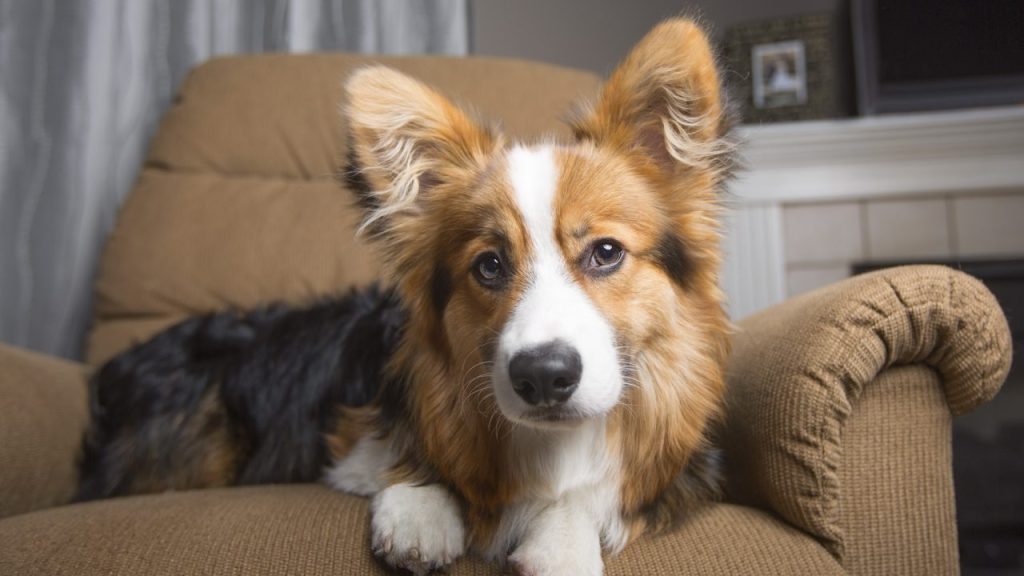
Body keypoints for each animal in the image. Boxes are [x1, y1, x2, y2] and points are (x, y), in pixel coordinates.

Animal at [79, 17, 737, 573]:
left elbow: (591, 497)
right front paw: (421, 511)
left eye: (605, 252)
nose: (543, 377)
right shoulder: (355, 437)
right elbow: (418, 455)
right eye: (489, 265)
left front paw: (561, 546)